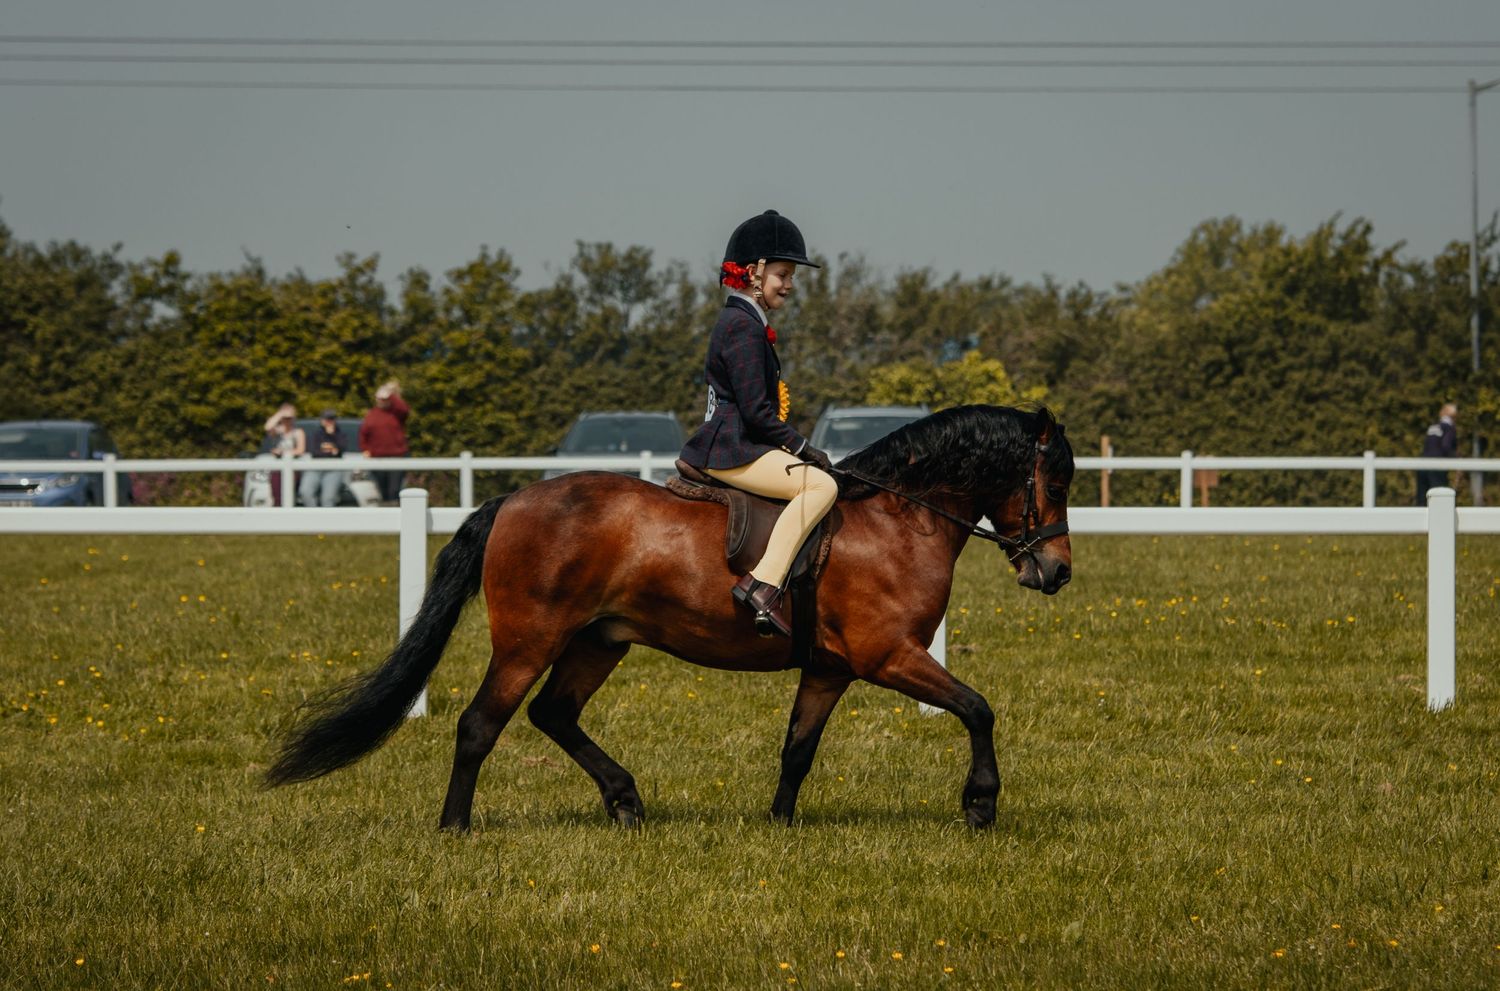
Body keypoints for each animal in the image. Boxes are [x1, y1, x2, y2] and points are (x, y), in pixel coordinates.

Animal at [266, 404, 1074, 830]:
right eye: (1055, 479)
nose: (1058, 571)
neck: (896, 520)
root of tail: (512, 500)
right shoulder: (889, 656)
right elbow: (978, 707)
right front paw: (981, 804)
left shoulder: (831, 669)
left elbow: (798, 749)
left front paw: (779, 825)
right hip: (529, 640)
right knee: (480, 724)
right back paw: (456, 827)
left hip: (599, 642)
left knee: (553, 715)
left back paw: (625, 800)